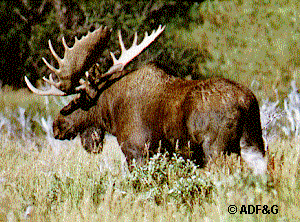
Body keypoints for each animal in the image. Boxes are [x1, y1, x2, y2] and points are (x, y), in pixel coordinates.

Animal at [24, 25, 266, 174]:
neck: (111, 112)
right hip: (254, 142)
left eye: (78, 101)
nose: (57, 125)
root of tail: (247, 102)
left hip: (217, 149)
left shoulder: (137, 151)